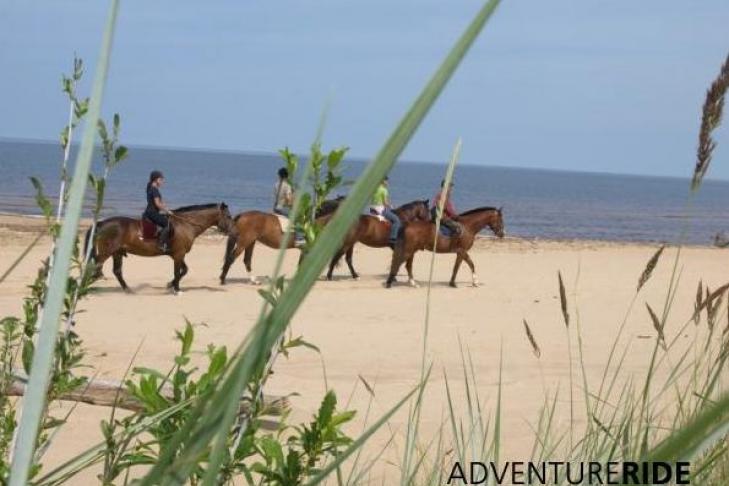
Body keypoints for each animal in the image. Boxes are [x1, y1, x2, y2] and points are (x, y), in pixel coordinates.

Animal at [85, 203, 233, 294]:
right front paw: (177, 289)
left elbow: (184, 270)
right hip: (107, 251)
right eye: (228, 216)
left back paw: (128, 290)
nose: (233, 232)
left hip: (117, 252)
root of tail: (102, 223)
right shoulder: (179, 254)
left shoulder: (178, 254)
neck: (185, 225)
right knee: (97, 266)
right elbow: (177, 272)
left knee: (116, 271)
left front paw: (170, 285)